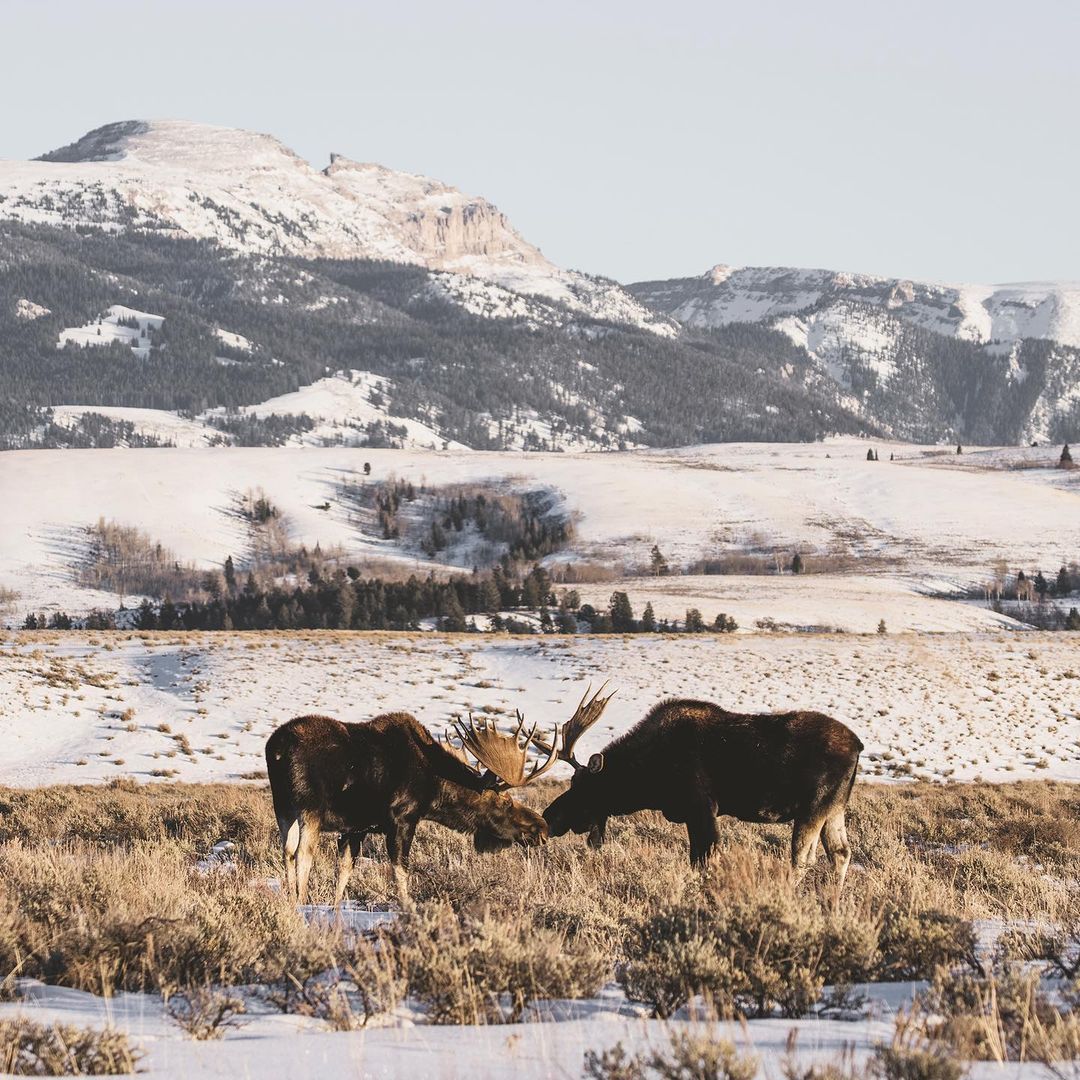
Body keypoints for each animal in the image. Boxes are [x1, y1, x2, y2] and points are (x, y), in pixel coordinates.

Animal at [266, 708, 561, 902]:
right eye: (505, 802)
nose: (542, 828)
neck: (436, 789)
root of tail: (277, 749)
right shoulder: (402, 819)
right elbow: (401, 872)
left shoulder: (355, 828)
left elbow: (343, 874)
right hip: (309, 808)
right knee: (303, 854)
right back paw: (301, 902)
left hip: (283, 807)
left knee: (287, 850)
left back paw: (291, 900)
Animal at [544, 691, 864, 894]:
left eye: (580, 785)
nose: (549, 816)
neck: (648, 777)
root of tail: (858, 745)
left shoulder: (701, 807)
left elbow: (703, 858)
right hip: (835, 808)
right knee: (841, 853)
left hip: (813, 808)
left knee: (804, 858)